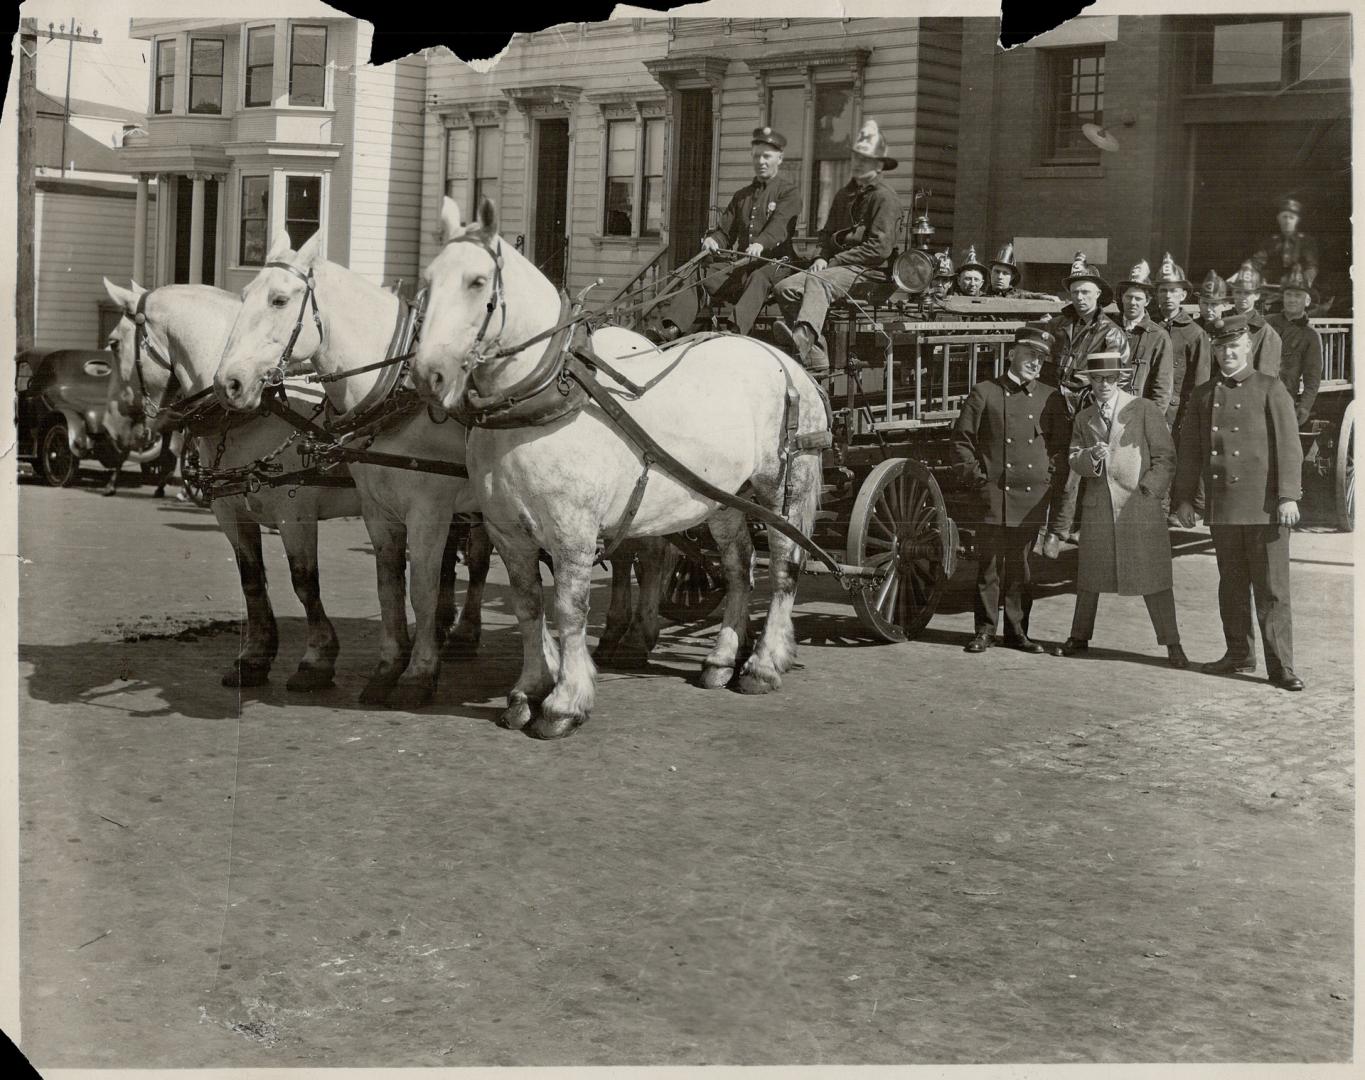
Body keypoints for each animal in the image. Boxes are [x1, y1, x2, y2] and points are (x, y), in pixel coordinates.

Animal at [210, 232, 494, 715]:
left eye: (280, 299)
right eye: (243, 296)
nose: (229, 383)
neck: (395, 390)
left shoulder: (426, 511)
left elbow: (419, 587)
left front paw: (418, 675)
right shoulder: (377, 510)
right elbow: (389, 587)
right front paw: (387, 670)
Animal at [409, 197, 824, 737]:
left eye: (478, 282)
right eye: (428, 280)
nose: (428, 375)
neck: (542, 400)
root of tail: (785, 359)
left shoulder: (572, 531)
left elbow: (568, 611)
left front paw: (565, 702)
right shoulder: (508, 532)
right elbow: (527, 606)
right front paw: (529, 689)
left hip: (782, 486)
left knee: (783, 570)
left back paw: (763, 664)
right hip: (723, 498)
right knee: (738, 570)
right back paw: (721, 659)